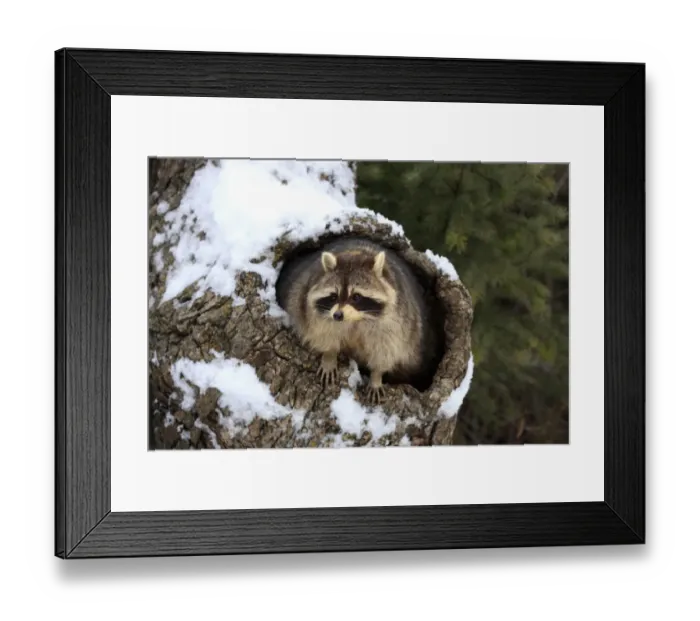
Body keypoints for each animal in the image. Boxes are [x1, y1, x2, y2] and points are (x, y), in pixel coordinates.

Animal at [276, 237, 439, 404]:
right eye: (333, 296)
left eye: (356, 297)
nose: (338, 315)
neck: (356, 319)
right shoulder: (314, 312)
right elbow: (322, 333)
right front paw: (329, 355)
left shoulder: (396, 322)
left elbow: (385, 350)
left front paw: (376, 376)